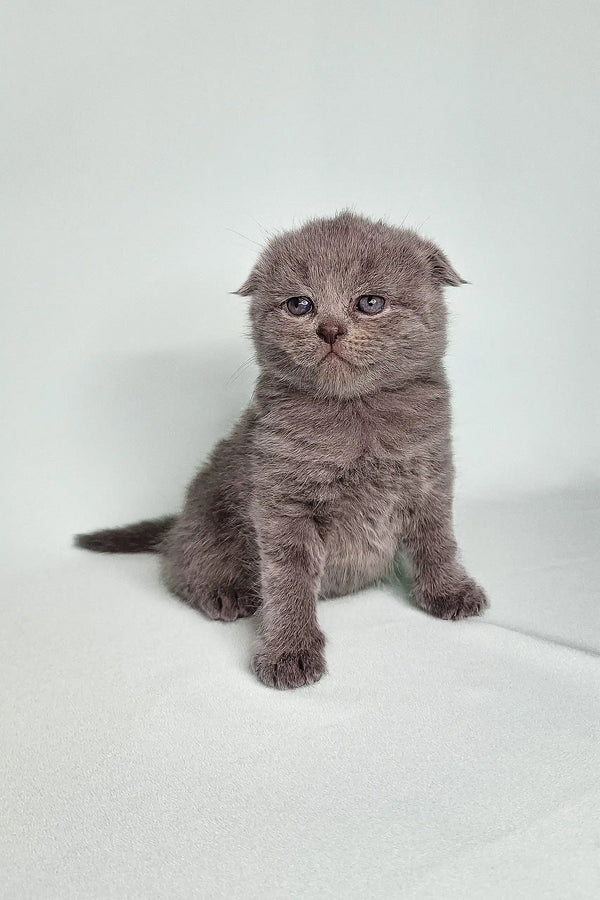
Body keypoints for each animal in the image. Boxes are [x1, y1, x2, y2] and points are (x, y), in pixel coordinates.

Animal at [75, 211, 488, 688]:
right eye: (299, 305)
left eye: (370, 302)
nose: (329, 329)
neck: (356, 417)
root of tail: (179, 518)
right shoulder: (282, 500)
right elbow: (288, 577)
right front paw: (290, 651)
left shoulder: (431, 475)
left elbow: (437, 539)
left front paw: (449, 591)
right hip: (207, 518)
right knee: (179, 564)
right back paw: (223, 592)